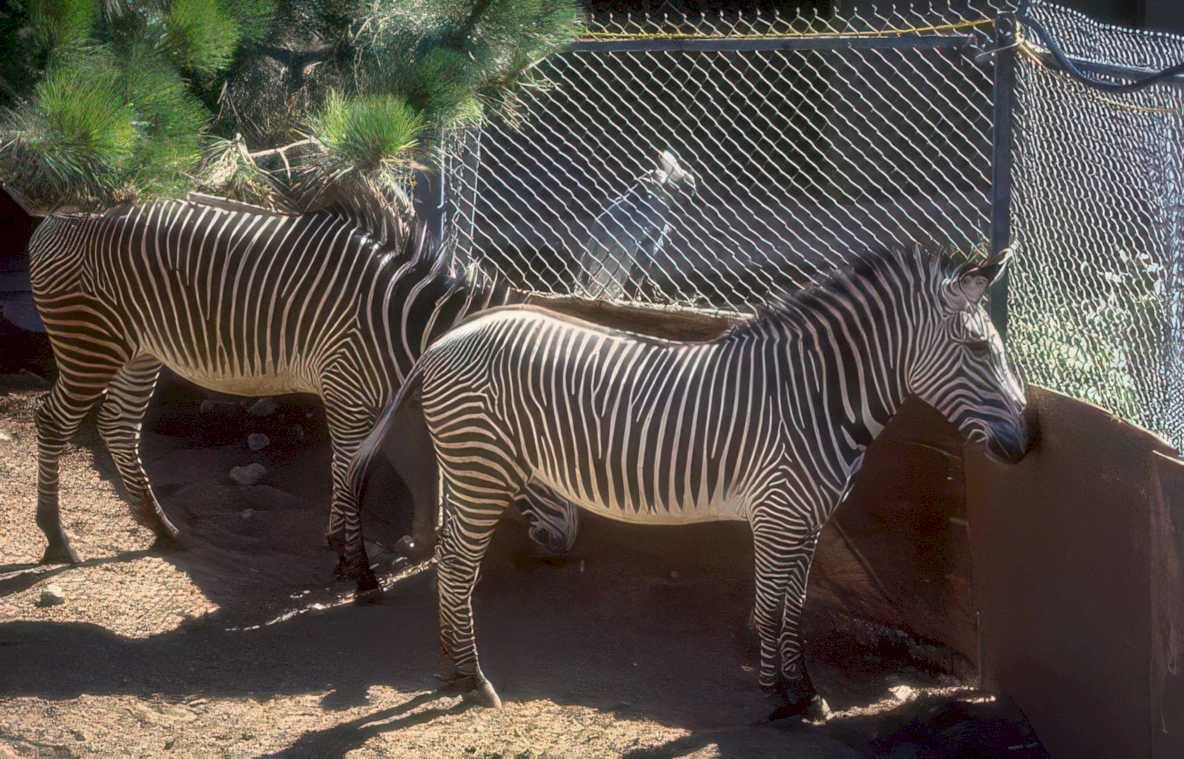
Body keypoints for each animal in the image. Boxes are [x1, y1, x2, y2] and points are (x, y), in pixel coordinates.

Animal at [25, 197, 580, 595]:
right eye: (544, 454)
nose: (564, 549)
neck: (400, 324)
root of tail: (55, 216)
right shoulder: (346, 389)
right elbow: (350, 471)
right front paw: (354, 562)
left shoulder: (371, 397)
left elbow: (379, 468)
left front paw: (357, 545)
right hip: (90, 342)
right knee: (52, 420)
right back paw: (55, 537)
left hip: (138, 348)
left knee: (118, 425)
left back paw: (162, 528)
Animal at [351, 241, 1029, 718]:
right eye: (978, 350)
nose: (1025, 445)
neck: (816, 397)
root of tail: (448, 336)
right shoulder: (780, 513)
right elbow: (774, 607)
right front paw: (783, 695)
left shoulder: (806, 519)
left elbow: (792, 607)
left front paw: (799, 690)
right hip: (481, 467)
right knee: (457, 567)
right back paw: (474, 679)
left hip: (467, 469)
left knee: (448, 558)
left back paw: (452, 669)